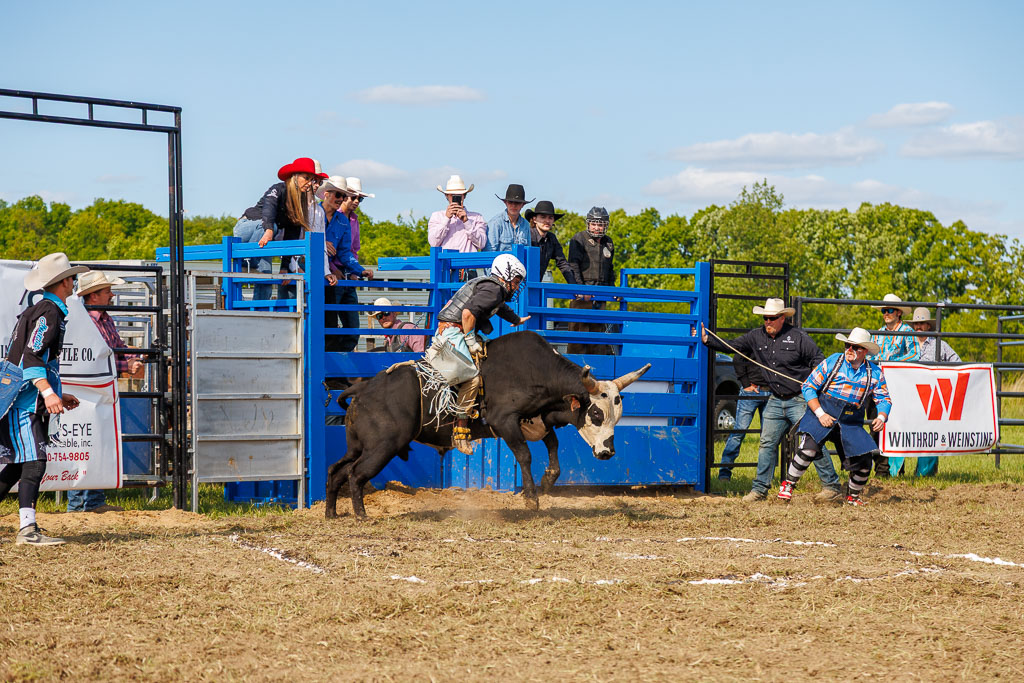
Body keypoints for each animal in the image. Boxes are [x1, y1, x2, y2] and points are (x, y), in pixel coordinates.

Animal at [325, 330, 650, 518]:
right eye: (596, 413)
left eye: (617, 415)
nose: (607, 452)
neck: (536, 371)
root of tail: (363, 388)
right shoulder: (505, 422)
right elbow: (524, 455)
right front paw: (531, 499)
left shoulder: (538, 421)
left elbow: (553, 450)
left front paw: (546, 483)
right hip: (382, 448)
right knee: (355, 474)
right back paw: (361, 515)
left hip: (358, 447)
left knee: (336, 470)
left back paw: (332, 513)